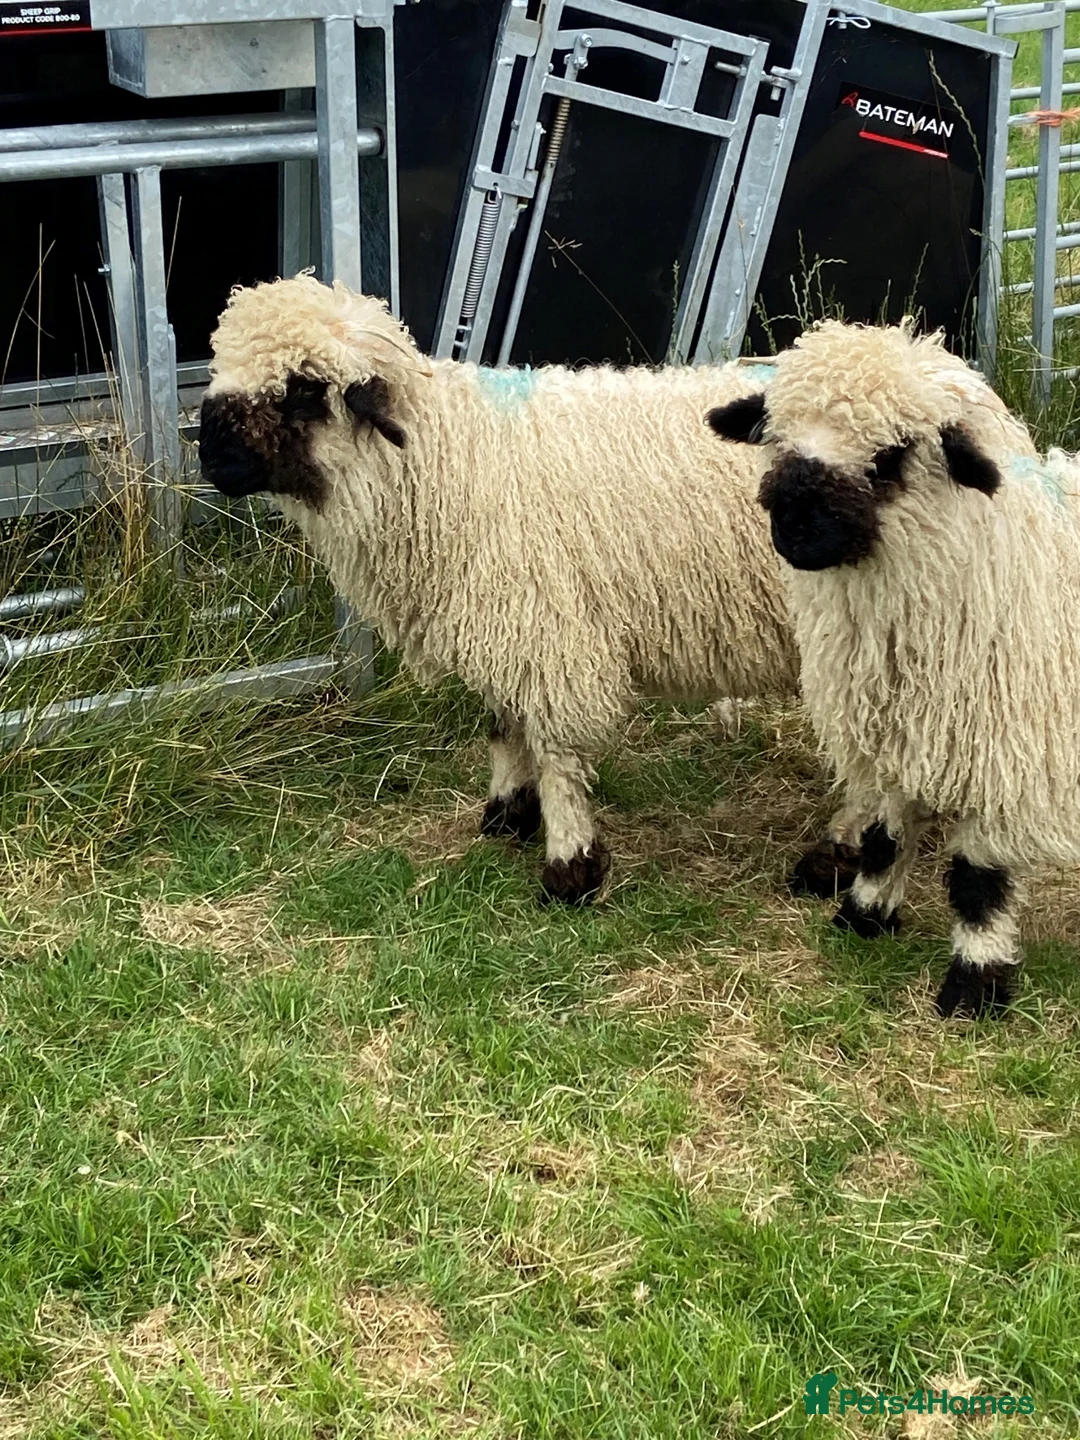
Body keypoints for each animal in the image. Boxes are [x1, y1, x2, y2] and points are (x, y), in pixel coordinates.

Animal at [198, 274, 866, 904]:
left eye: (303, 388)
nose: (211, 458)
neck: (449, 460)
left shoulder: (547, 630)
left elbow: (556, 754)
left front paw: (570, 867)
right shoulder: (507, 623)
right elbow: (503, 726)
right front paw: (506, 814)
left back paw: (835, 859)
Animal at [706, 317, 1069, 1017]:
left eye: (893, 454)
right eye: (776, 435)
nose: (795, 526)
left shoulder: (1001, 757)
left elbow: (979, 881)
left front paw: (974, 985)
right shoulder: (887, 742)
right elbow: (883, 838)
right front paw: (864, 916)